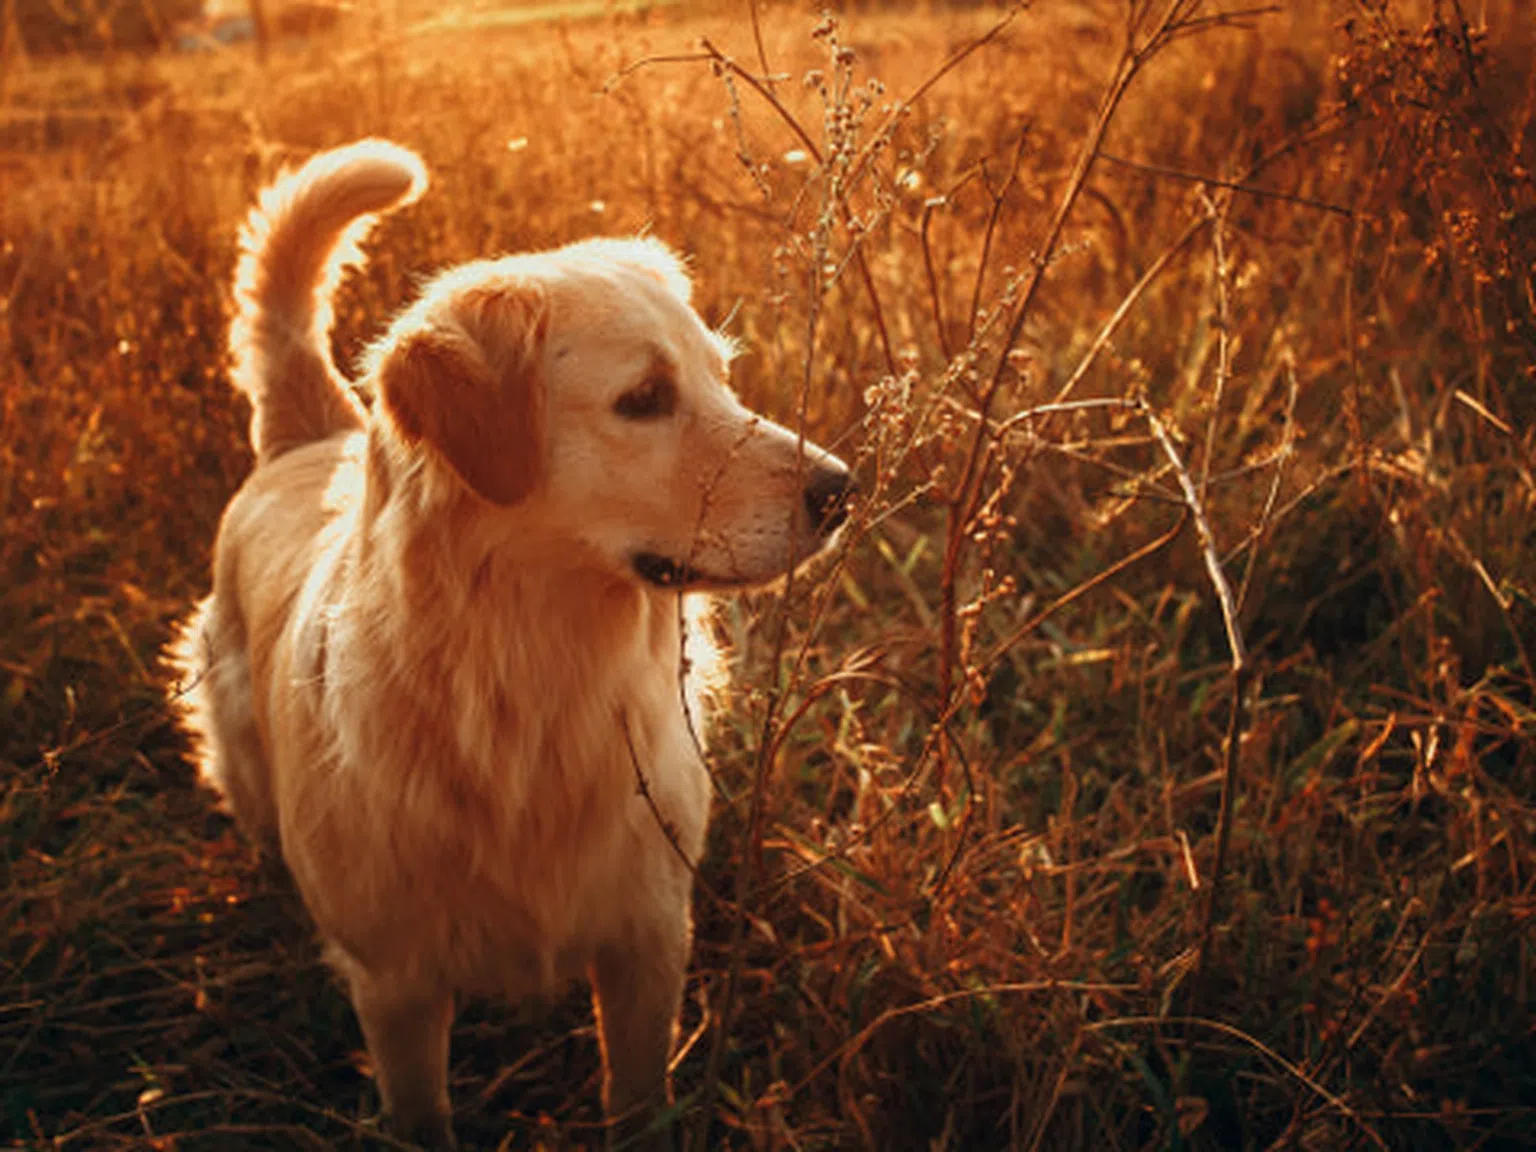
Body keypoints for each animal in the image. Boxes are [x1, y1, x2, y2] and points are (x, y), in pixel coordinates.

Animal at [174, 139, 860, 1148]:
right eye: (643, 398)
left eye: (721, 374)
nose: (842, 489)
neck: (531, 687)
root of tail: (309, 437)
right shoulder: (398, 988)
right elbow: (421, 1115)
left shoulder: (649, 937)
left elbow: (636, 1097)